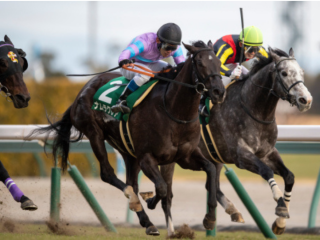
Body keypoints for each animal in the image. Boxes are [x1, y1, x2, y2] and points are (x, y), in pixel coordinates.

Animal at [33, 40, 225, 234]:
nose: (219, 92)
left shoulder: (184, 156)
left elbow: (210, 169)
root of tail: (81, 91)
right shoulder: (147, 157)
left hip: (127, 150)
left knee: (131, 182)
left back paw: (148, 222)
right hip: (95, 134)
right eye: (199, 62)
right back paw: (134, 201)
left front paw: (209, 219)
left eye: (218, 62)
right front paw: (149, 200)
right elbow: (162, 188)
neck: (173, 111)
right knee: (109, 175)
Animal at [158, 47, 312, 236]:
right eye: (284, 73)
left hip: (213, 157)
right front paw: (280, 203)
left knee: (212, 186)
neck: (254, 110)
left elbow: (289, 176)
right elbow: (266, 171)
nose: (306, 100)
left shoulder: (268, 153)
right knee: (168, 195)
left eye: (301, 72)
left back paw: (230, 212)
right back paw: (172, 231)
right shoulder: (241, 156)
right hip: (171, 158)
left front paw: (280, 222)